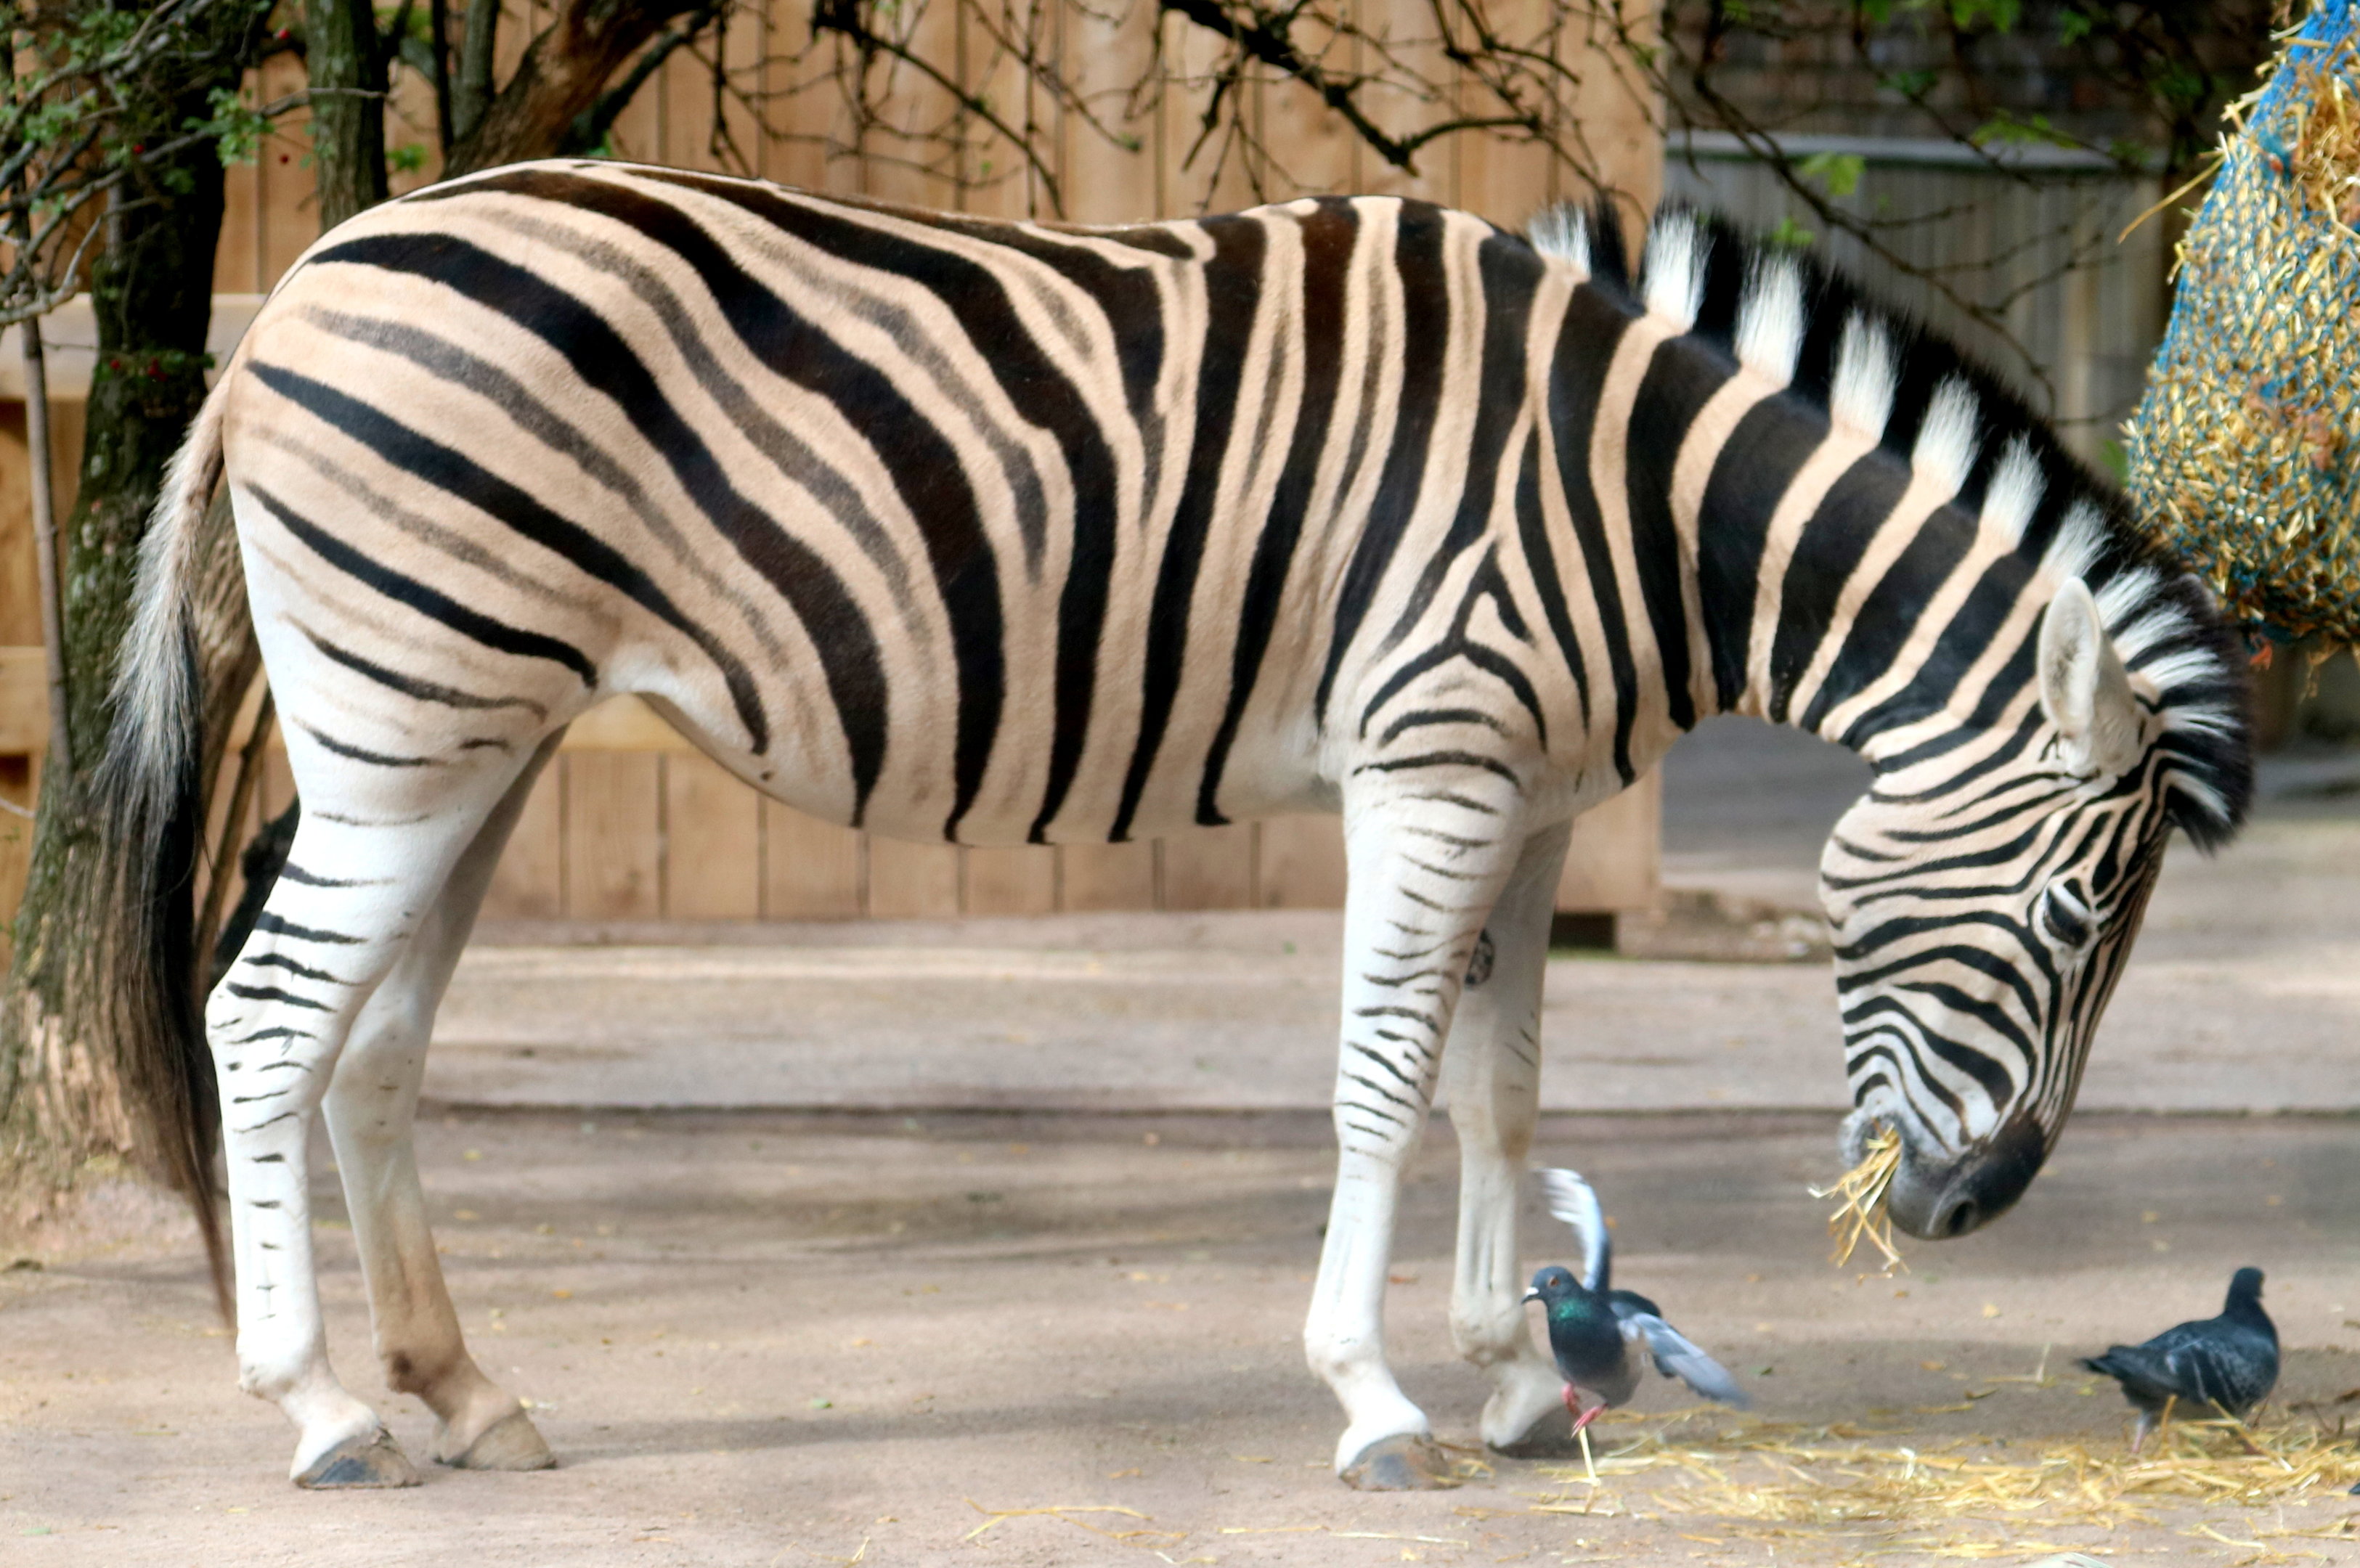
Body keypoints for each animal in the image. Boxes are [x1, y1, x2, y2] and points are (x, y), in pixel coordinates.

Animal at [98, 159, 2251, 1491]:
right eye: (2071, 922)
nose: (1978, 1213)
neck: (1631, 505)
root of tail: (302, 282)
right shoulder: (1433, 763)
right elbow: (1383, 1082)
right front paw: (1378, 1398)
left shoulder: (1540, 798)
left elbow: (1503, 1093)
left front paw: (1516, 1380)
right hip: (404, 721)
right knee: (264, 1023)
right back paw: (319, 1413)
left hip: (480, 734)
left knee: (372, 1048)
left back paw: (462, 1394)